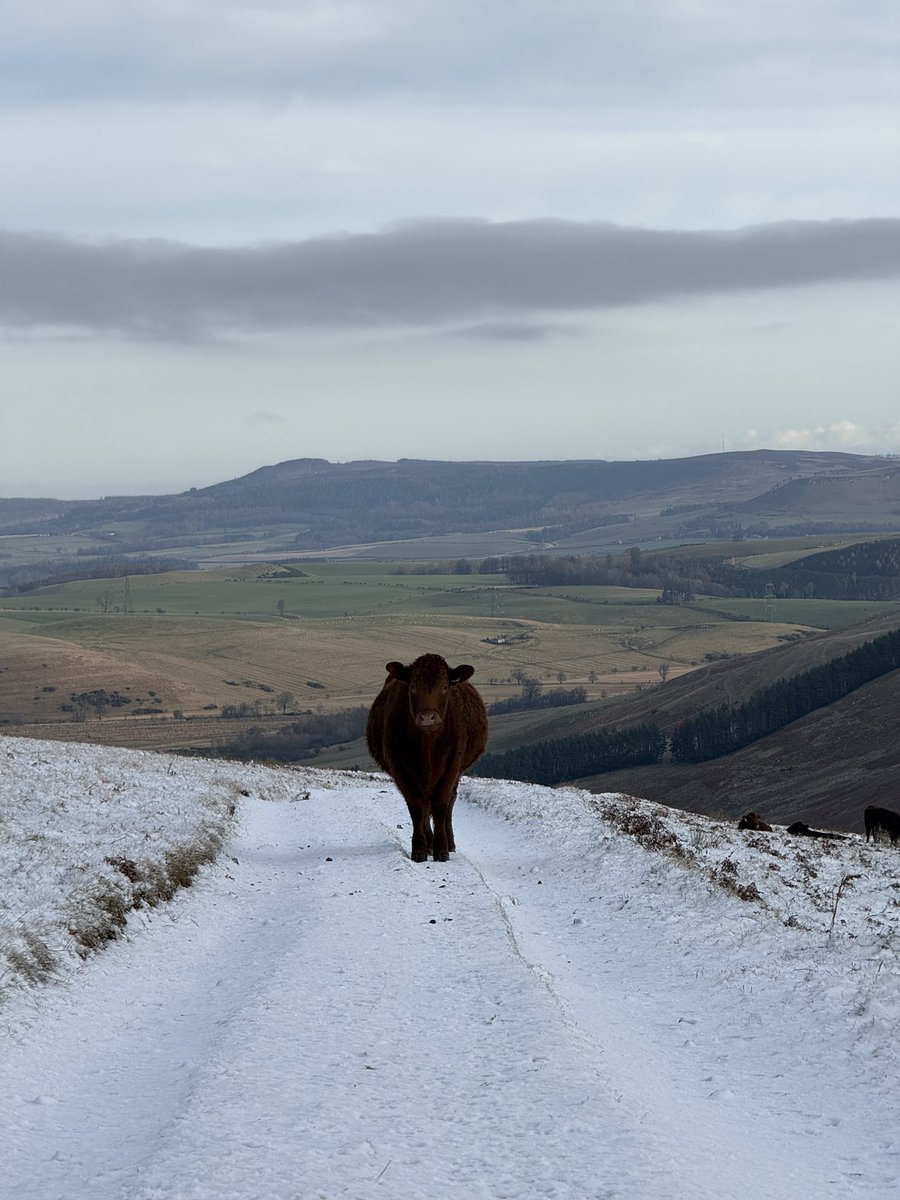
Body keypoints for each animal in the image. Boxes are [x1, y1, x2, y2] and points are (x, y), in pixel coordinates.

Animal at [366, 654, 488, 862]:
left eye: (445, 687)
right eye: (413, 687)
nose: (428, 717)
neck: (427, 747)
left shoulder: (452, 767)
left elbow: (440, 806)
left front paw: (442, 850)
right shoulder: (400, 769)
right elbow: (416, 808)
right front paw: (420, 849)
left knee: (448, 805)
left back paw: (449, 843)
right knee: (424, 808)